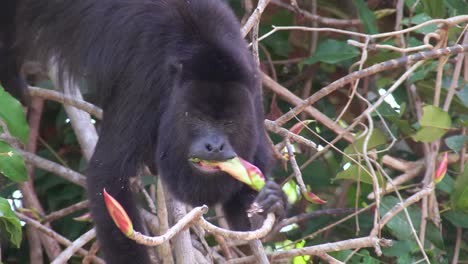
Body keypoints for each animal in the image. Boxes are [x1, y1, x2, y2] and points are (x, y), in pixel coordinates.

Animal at [1, 0, 288, 262]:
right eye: (197, 117)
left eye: (229, 123)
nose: (215, 146)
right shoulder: (145, 83)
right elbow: (108, 175)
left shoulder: (253, 94)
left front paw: (271, 204)